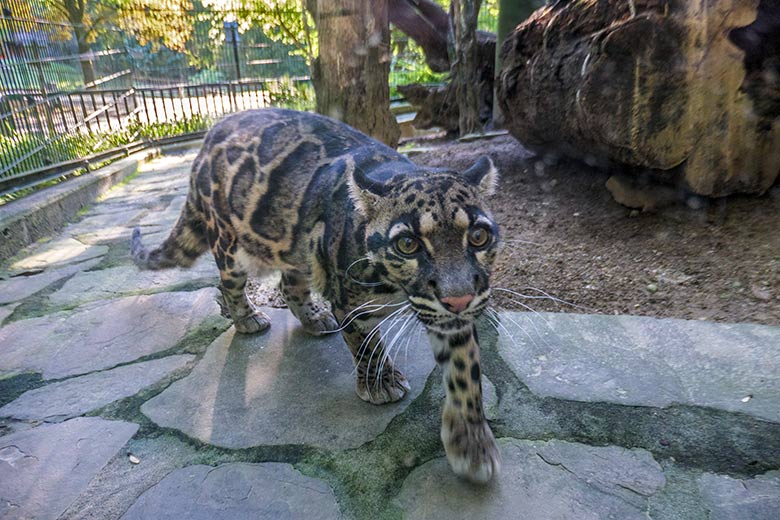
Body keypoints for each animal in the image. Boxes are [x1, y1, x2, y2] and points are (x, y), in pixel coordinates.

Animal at [129, 108, 500, 484]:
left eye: (479, 237)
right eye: (407, 244)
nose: (458, 299)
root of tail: (210, 135)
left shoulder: (451, 312)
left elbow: (465, 371)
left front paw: (470, 444)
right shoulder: (352, 305)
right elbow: (367, 346)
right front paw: (379, 383)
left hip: (297, 247)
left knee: (288, 284)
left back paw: (313, 317)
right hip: (229, 244)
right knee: (229, 283)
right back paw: (248, 318)